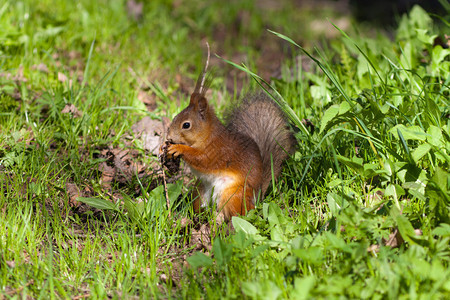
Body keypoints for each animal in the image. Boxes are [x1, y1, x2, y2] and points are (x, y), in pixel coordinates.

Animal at [162, 63, 296, 220]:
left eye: (186, 125)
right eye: (175, 117)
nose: (169, 136)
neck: (208, 136)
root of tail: (255, 199)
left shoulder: (218, 152)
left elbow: (201, 159)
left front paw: (179, 148)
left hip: (232, 194)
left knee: (236, 215)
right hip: (201, 190)